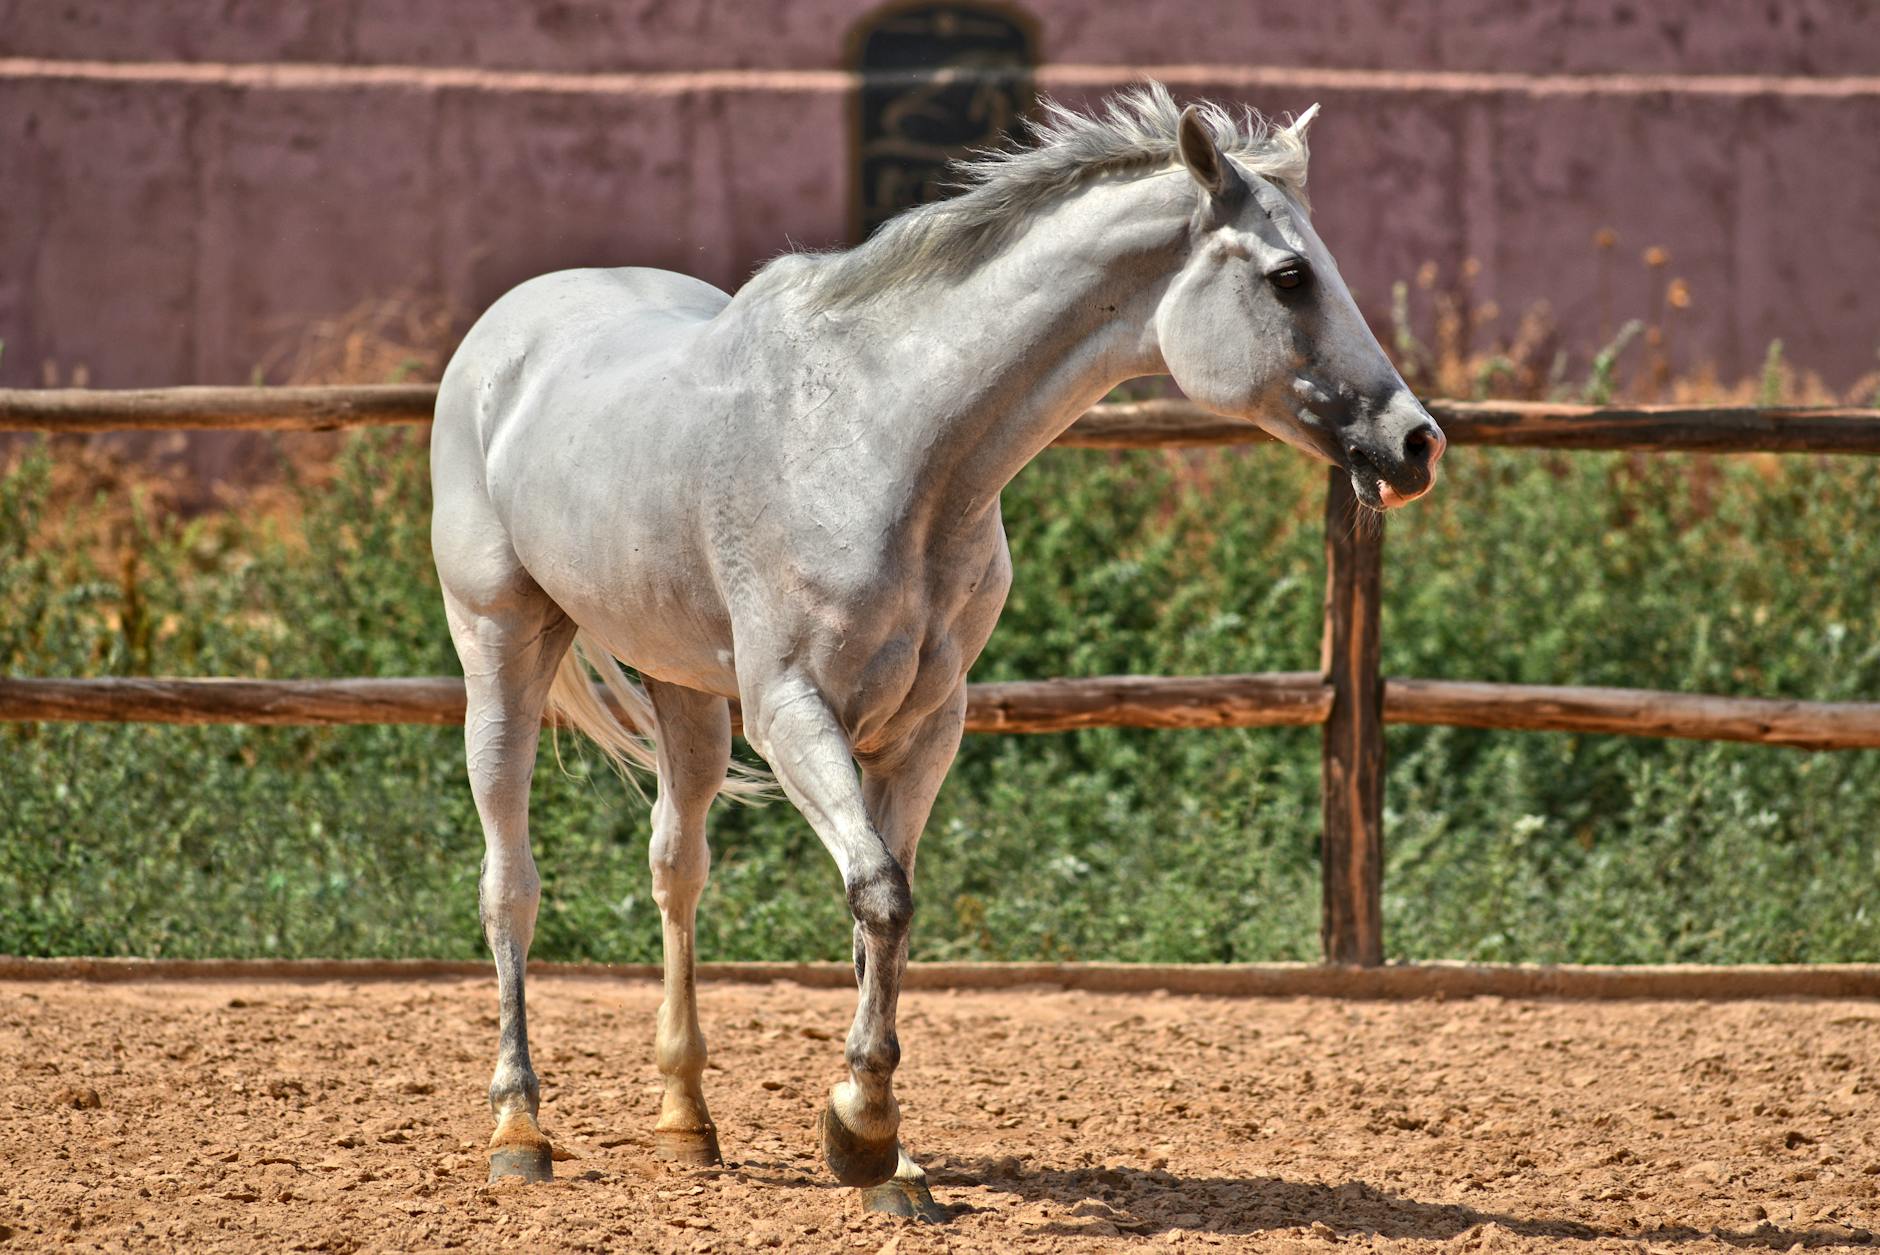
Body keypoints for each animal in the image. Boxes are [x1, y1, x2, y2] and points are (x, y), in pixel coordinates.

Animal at [429, 82, 1444, 1219]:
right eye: (1289, 275)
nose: (1414, 443)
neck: (885, 439)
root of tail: (507, 334)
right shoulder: (792, 710)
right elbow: (879, 892)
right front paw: (863, 1133)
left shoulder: (924, 722)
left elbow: (882, 913)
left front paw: (884, 1151)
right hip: (501, 648)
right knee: (510, 883)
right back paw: (518, 1130)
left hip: (683, 690)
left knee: (675, 868)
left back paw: (687, 1122)